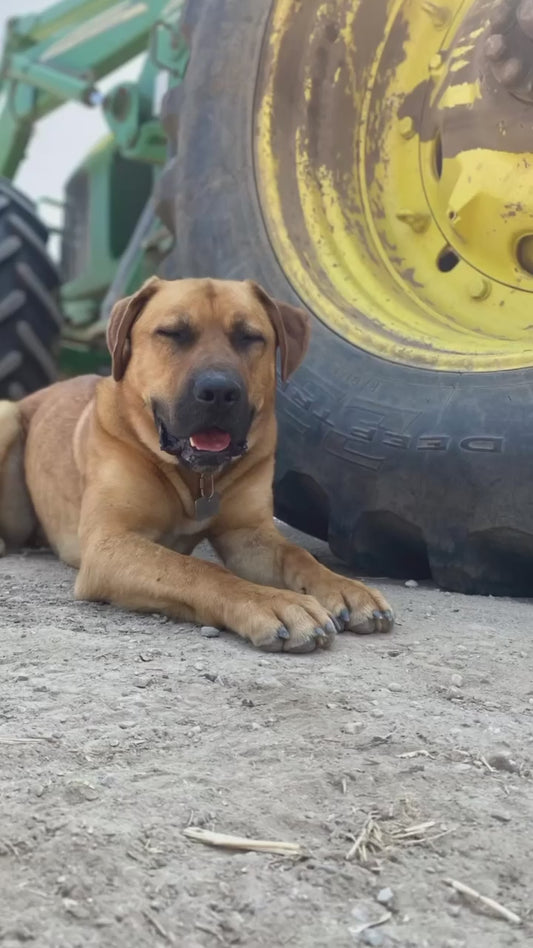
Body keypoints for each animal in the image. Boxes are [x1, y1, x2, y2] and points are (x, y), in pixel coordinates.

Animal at [0, 276, 390, 652]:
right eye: (172, 333)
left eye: (250, 337)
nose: (219, 392)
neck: (195, 477)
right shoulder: (109, 543)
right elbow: (196, 569)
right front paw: (273, 602)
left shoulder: (248, 534)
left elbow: (299, 555)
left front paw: (345, 587)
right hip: (7, 415)